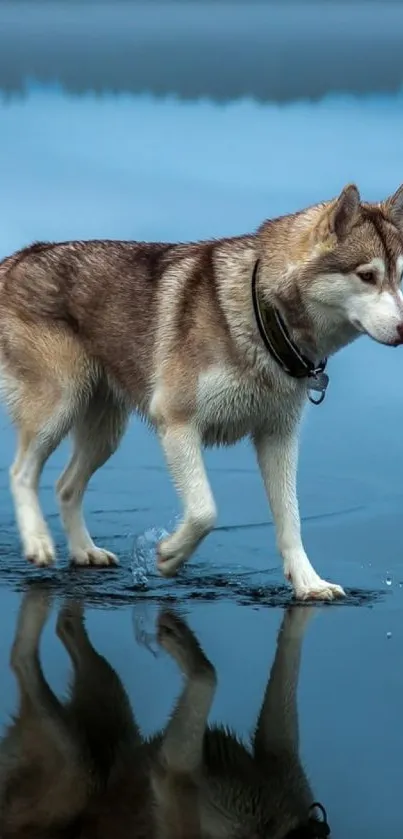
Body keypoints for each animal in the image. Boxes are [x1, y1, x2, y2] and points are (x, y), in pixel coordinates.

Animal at [0, 185, 402, 604]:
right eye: (367, 276)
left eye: (400, 277)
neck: (263, 315)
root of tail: (19, 256)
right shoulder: (177, 424)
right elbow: (205, 511)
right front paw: (170, 555)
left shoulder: (278, 437)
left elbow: (290, 519)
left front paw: (309, 583)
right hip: (58, 407)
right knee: (21, 472)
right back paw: (38, 542)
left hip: (105, 432)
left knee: (65, 486)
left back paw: (83, 551)